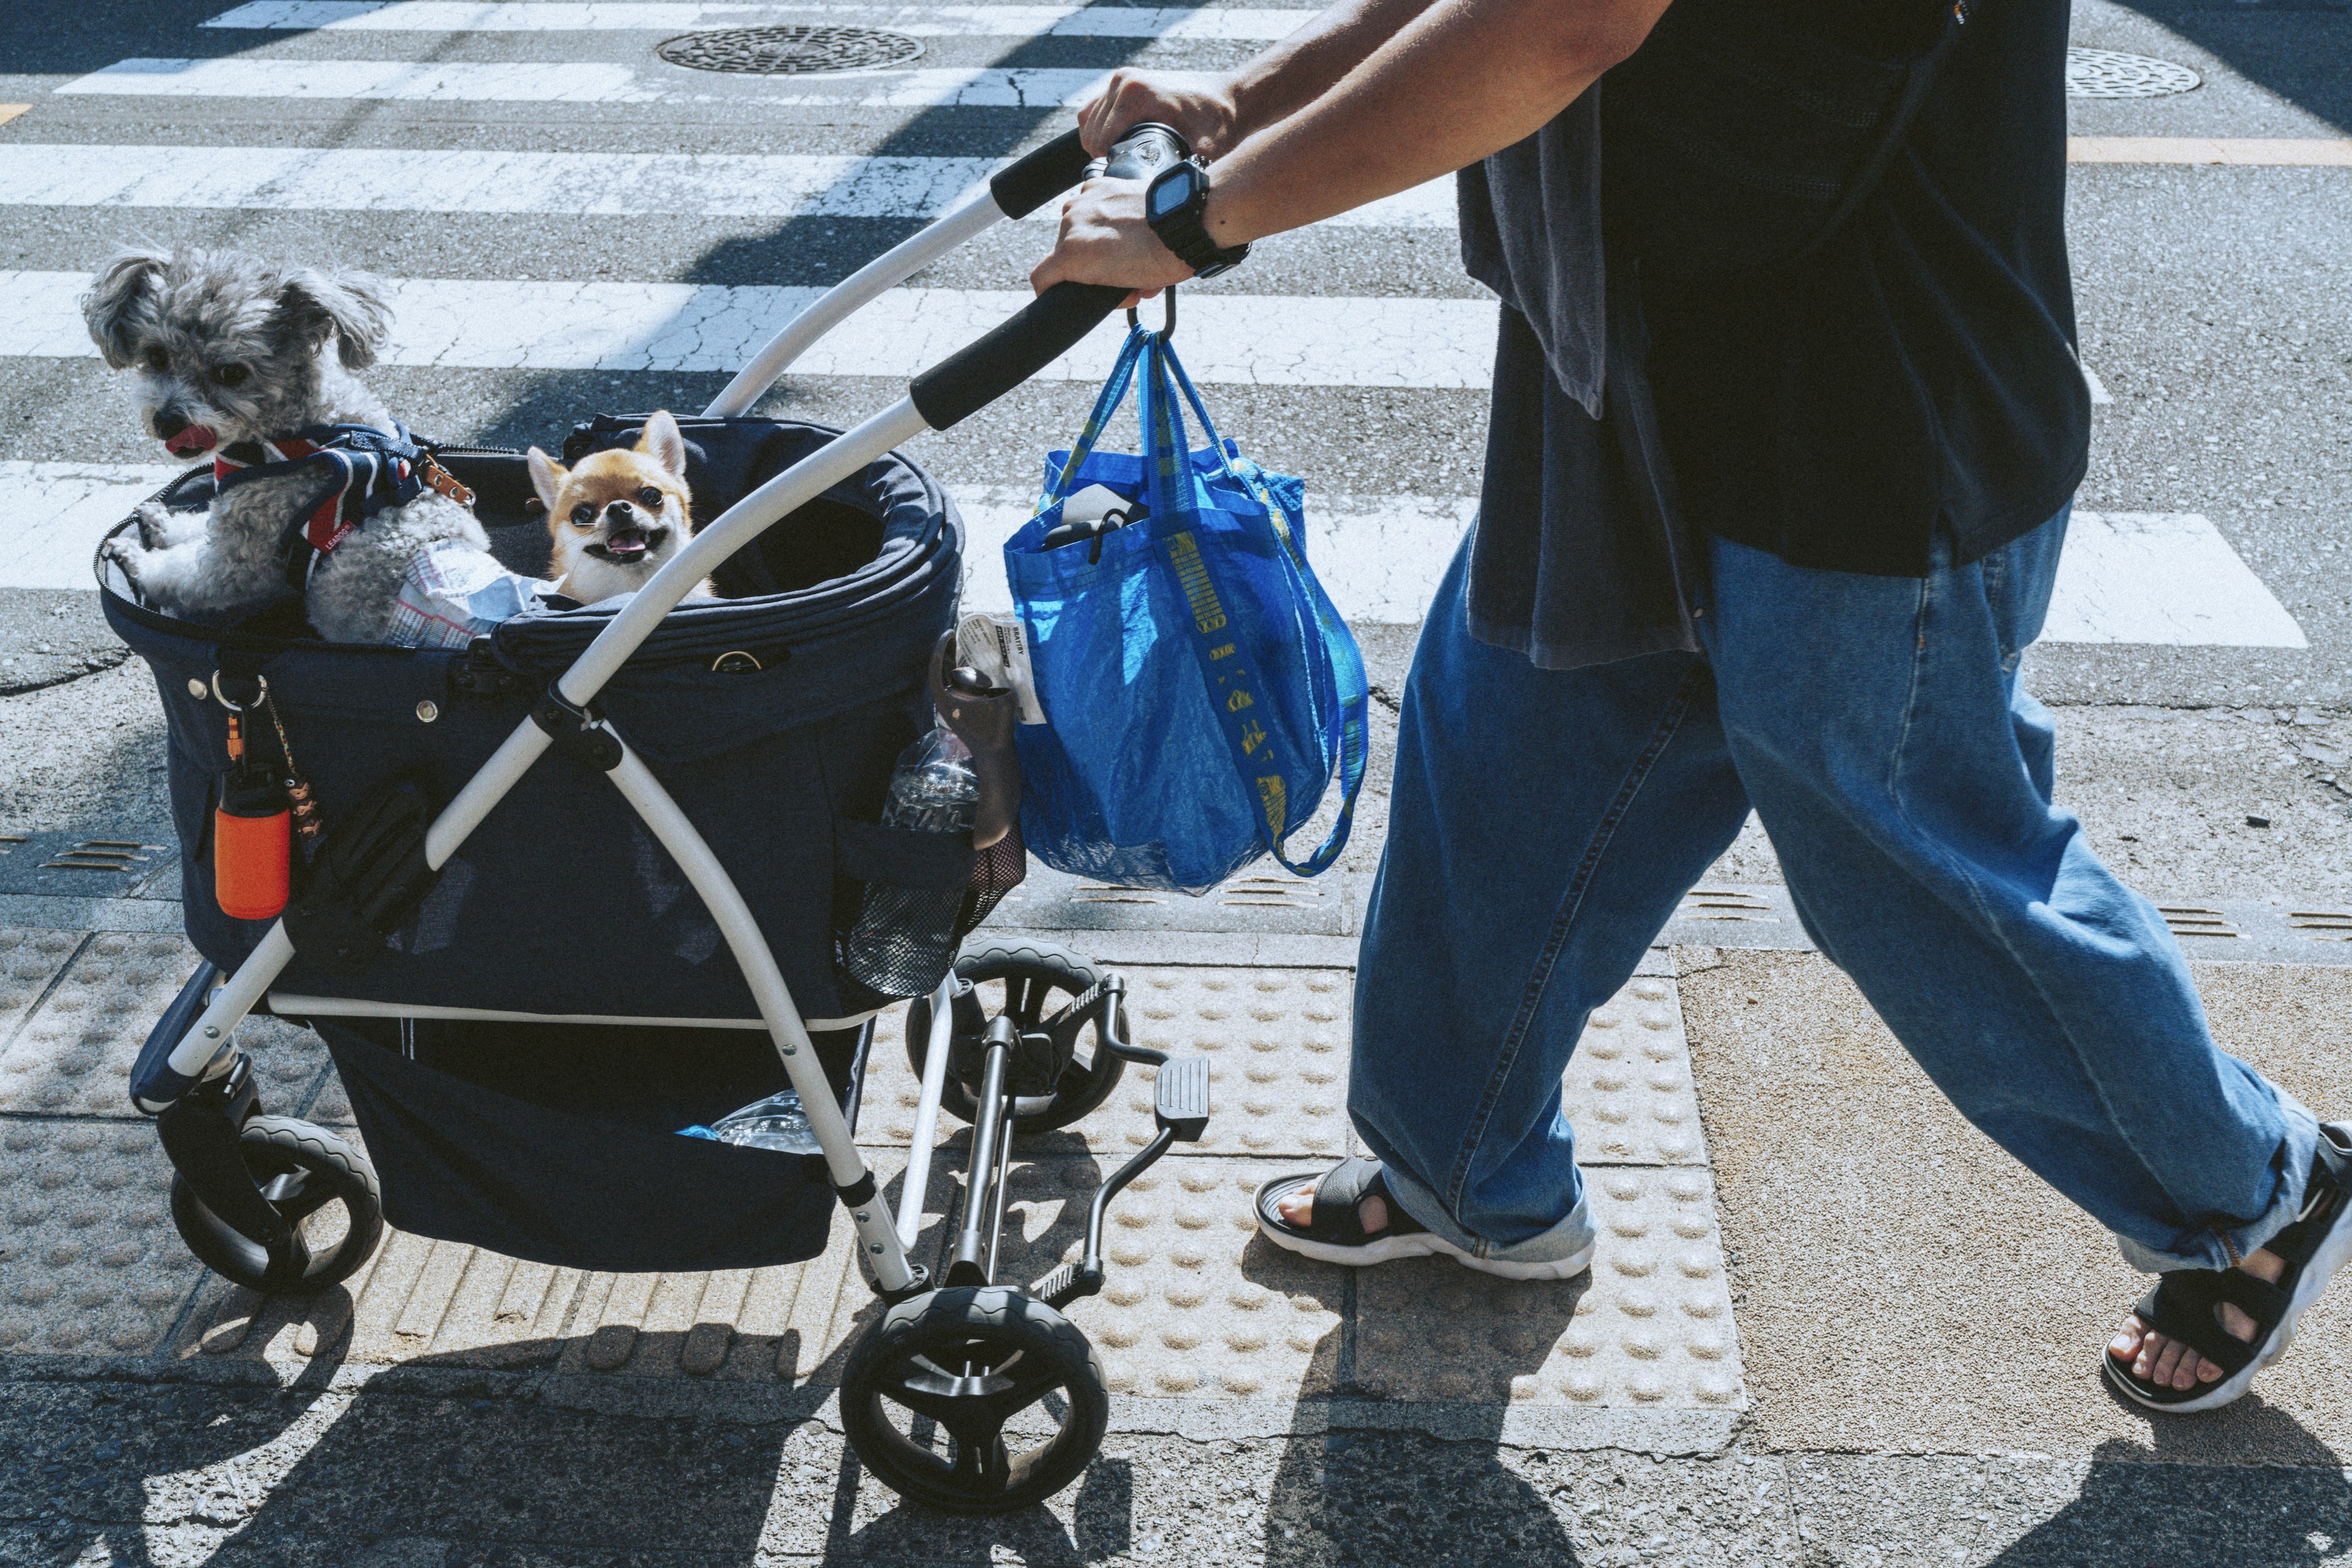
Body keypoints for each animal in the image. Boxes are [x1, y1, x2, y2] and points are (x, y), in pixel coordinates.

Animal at [85, 246, 491, 639]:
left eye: (232, 373)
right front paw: (161, 523)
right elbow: (197, 527)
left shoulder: (246, 557)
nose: (167, 422)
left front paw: (132, 556)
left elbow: (182, 576)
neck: (303, 434)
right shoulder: (236, 517)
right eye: (156, 355)